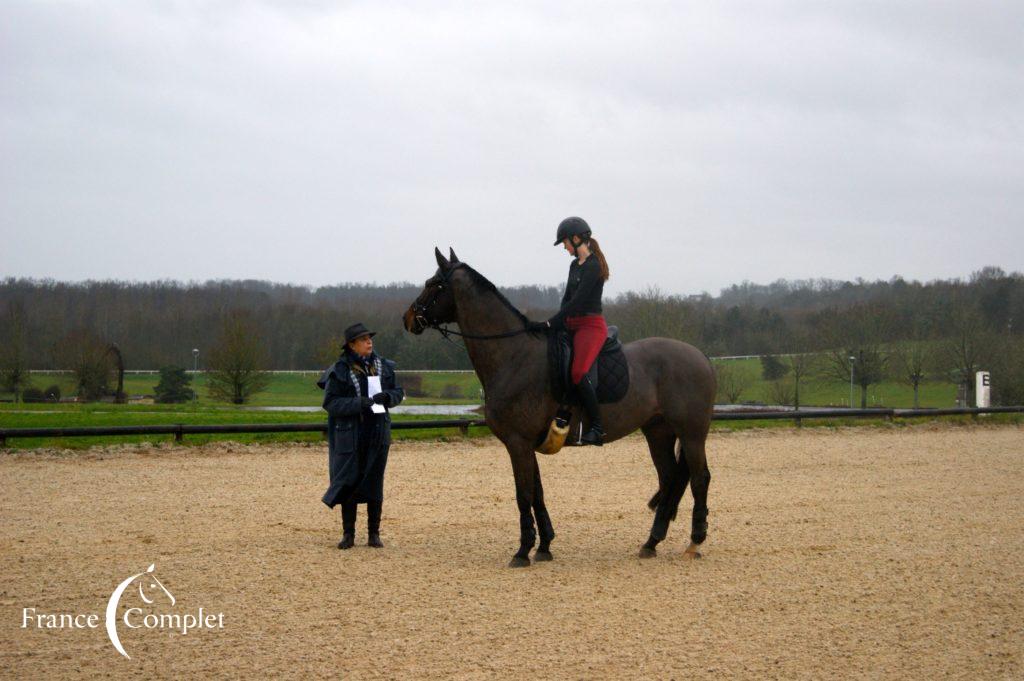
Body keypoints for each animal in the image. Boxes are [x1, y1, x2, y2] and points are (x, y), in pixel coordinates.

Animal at [403, 246, 716, 565]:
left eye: (432, 284)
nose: (408, 318)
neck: (513, 356)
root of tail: (701, 356)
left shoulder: (517, 442)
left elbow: (524, 494)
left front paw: (523, 551)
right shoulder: (527, 443)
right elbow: (537, 493)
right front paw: (544, 547)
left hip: (691, 433)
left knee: (699, 478)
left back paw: (695, 541)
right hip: (658, 431)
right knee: (670, 478)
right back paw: (651, 542)